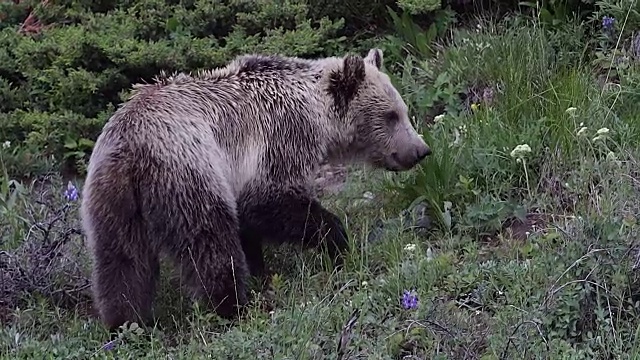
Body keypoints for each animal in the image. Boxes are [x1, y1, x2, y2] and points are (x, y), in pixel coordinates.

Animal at [79, 47, 430, 332]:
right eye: (390, 115)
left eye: (401, 109)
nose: (420, 150)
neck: (316, 115)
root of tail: (130, 151)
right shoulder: (277, 138)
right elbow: (268, 202)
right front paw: (338, 242)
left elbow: (250, 225)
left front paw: (262, 268)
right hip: (188, 173)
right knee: (211, 243)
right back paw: (233, 307)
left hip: (111, 200)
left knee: (121, 261)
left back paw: (126, 323)